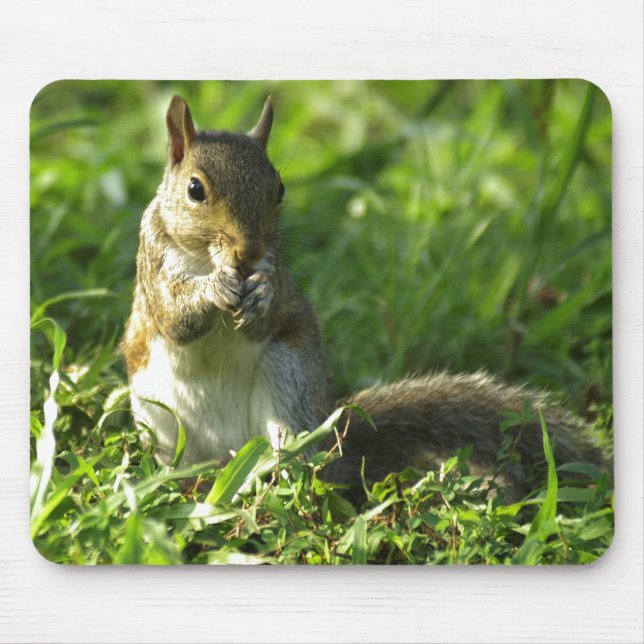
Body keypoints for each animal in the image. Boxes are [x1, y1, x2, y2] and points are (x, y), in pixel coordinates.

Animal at [121, 95, 610, 499]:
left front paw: (260, 296)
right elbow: (174, 317)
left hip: (290, 380)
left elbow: (267, 313)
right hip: (160, 420)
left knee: (295, 457)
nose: (249, 252)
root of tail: (226, 458)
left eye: (279, 189)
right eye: (195, 190)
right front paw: (214, 290)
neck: (208, 259)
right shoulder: (153, 262)